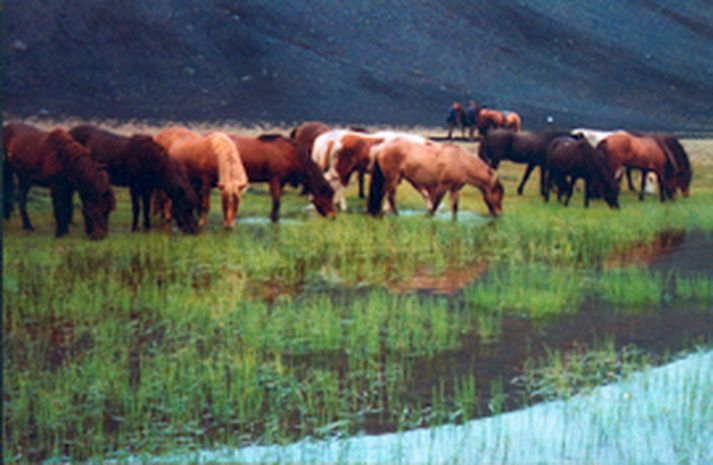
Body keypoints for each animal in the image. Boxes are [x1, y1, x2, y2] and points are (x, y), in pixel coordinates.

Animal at [69, 124, 199, 234]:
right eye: (186, 205)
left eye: (193, 205)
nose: (194, 230)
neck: (151, 160)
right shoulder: (134, 186)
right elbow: (137, 207)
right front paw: (135, 228)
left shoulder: (147, 188)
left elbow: (146, 207)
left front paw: (147, 227)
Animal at [368, 139, 506, 218]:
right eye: (498, 192)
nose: (499, 213)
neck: (461, 161)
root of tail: (380, 148)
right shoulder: (442, 187)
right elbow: (434, 205)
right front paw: (428, 215)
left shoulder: (454, 189)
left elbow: (454, 208)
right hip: (393, 177)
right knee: (389, 196)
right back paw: (396, 214)